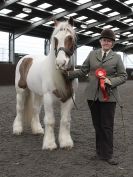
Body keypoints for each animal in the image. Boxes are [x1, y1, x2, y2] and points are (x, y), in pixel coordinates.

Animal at [13, 17, 77, 150]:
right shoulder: (48, 97)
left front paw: (66, 142)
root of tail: (25, 58)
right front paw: (49, 144)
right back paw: (17, 129)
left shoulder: (70, 98)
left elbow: (65, 120)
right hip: (21, 91)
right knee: (20, 109)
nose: (60, 63)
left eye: (70, 38)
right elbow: (50, 120)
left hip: (38, 94)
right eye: (55, 39)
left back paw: (37, 130)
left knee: (35, 109)